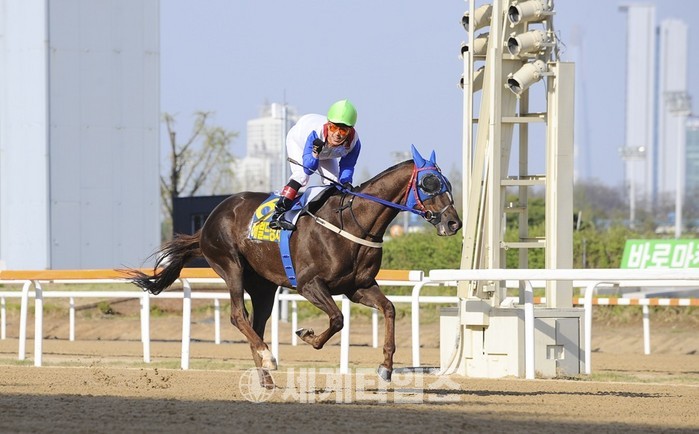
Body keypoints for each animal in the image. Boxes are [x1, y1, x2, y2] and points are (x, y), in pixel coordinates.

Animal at [128, 145, 462, 389]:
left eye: (446, 183)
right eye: (428, 184)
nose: (453, 223)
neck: (354, 221)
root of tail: (210, 219)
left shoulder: (358, 287)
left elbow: (389, 309)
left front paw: (386, 367)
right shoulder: (308, 284)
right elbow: (338, 319)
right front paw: (308, 336)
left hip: (264, 286)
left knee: (256, 323)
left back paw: (266, 376)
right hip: (230, 266)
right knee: (238, 316)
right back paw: (268, 357)